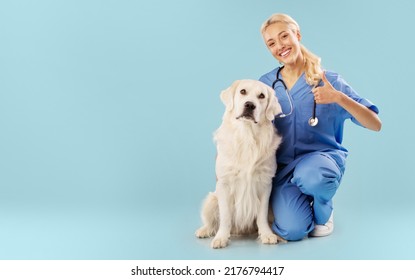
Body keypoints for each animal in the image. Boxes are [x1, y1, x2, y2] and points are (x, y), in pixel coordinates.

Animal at [197, 80, 284, 248]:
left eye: (261, 96)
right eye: (242, 91)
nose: (250, 105)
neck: (247, 135)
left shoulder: (265, 183)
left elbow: (261, 214)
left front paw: (267, 235)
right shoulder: (224, 183)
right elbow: (225, 216)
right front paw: (221, 238)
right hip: (212, 199)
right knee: (212, 222)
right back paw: (204, 230)